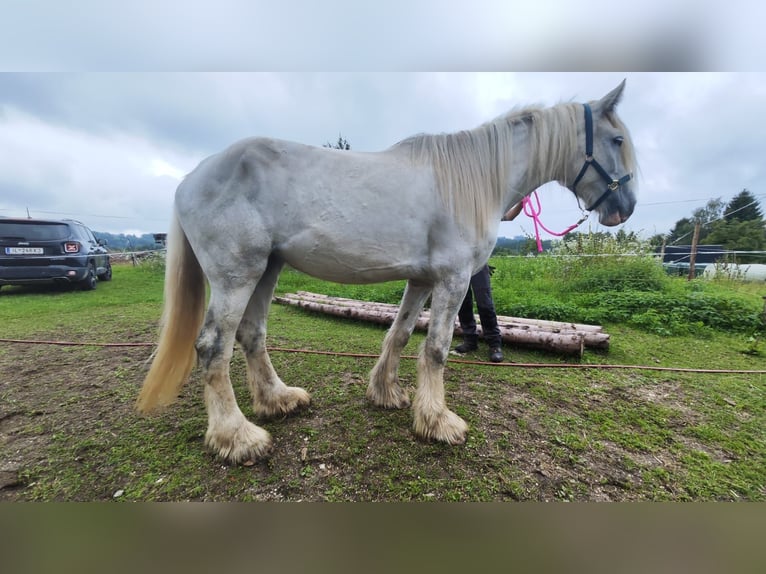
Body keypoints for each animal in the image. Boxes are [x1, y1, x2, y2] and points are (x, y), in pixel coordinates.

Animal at [136, 81, 638, 464]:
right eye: (616, 141)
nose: (625, 208)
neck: (472, 179)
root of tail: (191, 178)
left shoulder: (421, 279)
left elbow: (399, 334)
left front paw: (386, 393)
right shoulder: (453, 279)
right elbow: (436, 349)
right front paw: (438, 422)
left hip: (266, 270)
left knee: (251, 335)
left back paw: (279, 401)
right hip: (237, 275)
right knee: (212, 348)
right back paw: (237, 437)